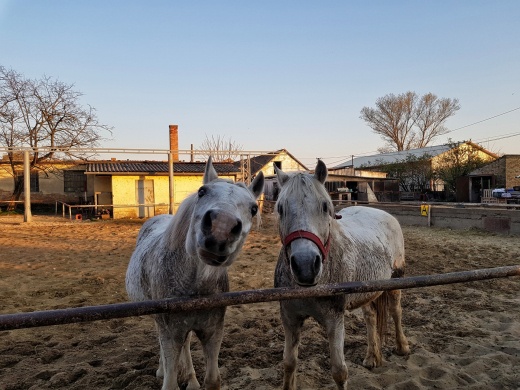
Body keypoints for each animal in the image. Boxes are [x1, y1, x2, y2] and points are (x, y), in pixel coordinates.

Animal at [126, 158, 264, 390]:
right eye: (202, 191)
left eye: (253, 208)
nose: (221, 229)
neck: (194, 287)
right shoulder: (170, 333)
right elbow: (170, 380)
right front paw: (170, 374)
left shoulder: (213, 332)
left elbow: (212, 379)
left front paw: (193, 380)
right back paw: (162, 370)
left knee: (187, 344)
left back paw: (190, 379)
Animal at [272, 160, 410, 388]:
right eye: (280, 208)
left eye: (325, 206)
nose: (305, 266)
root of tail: (385, 215)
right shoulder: (290, 318)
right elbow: (289, 363)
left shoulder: (334, 320)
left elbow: (339, 371)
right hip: (366, 290)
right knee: (371, 316)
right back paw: (372, 356)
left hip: (396, 280)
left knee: (395, 311)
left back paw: (402, 347)